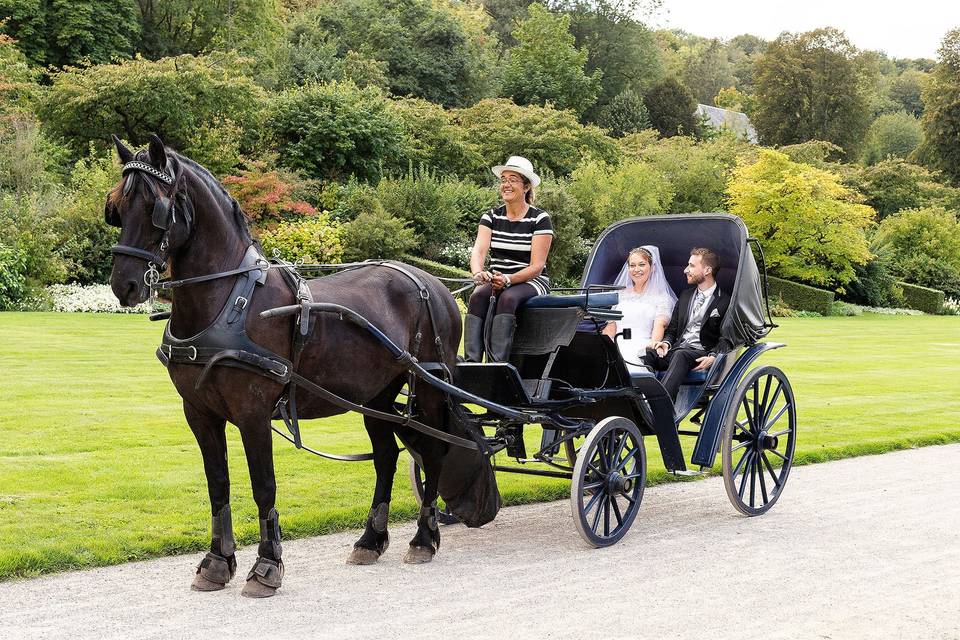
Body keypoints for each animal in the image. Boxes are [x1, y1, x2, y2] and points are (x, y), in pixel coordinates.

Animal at [105, 136, 498, 600]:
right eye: (115, 206)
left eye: (155, 206)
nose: (124, 285)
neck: (228, 301)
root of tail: (433, 283)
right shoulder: (199, 413)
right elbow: (218, 484)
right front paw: (217, 563)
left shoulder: (253, 413)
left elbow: (264, 486)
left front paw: (266, 567)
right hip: (376, 397)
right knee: (386, 457)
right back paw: (370, 540)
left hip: (432, 388)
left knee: (434, 451)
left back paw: (423, 538)